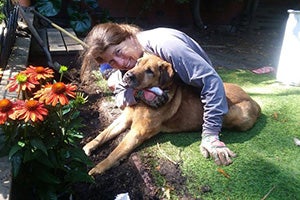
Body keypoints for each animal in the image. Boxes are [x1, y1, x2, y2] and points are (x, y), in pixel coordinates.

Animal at [83, 54, 262, 175]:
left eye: (150, 71)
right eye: (138, 63)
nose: (127, 75)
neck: (143, 100)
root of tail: (256, 102)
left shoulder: (137, 132)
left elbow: (116, 151)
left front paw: (99, 167)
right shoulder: (123, 119)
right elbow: (104, 133)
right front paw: (89, 145)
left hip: (235, 114)